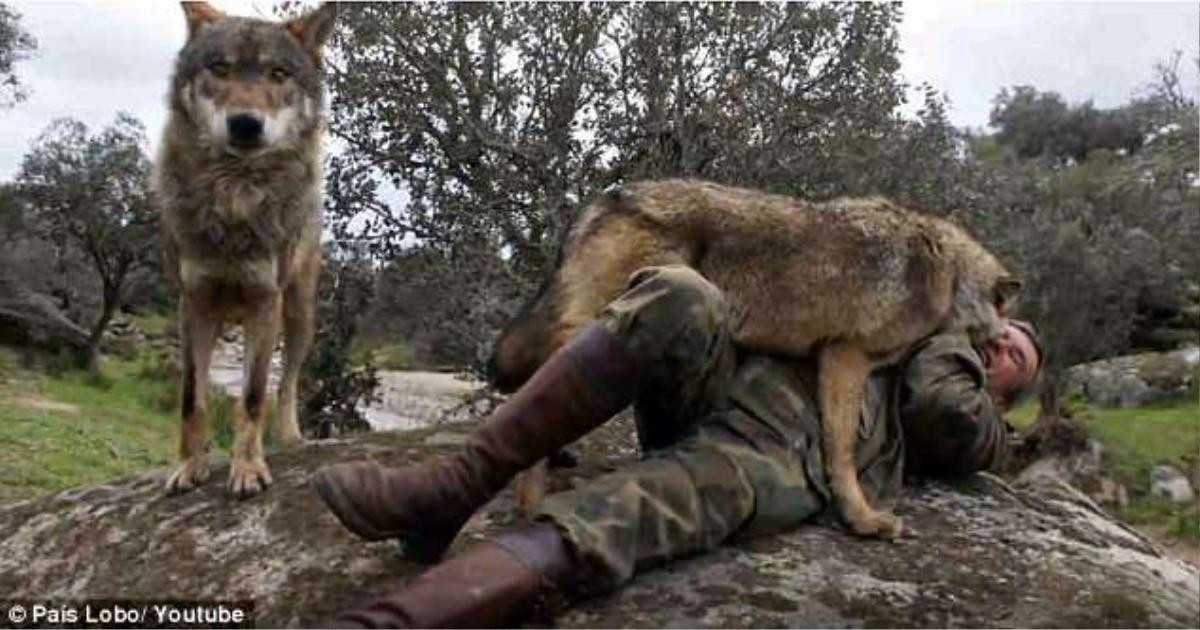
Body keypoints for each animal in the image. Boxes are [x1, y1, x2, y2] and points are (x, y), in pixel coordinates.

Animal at [154, 2, 336, 499]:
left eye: (278, 73)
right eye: (220, 68)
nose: (245, 123)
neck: (234, 200)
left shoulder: (263, 303)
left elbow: (253, 396)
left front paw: (248, 469)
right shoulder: (193, 305)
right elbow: (192, 398)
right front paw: (189, 466)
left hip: (299, 317)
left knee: (289, 382)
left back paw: (291, 438)